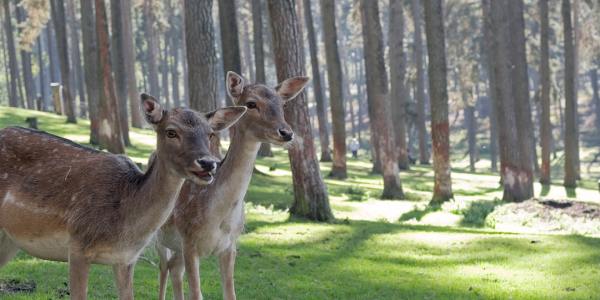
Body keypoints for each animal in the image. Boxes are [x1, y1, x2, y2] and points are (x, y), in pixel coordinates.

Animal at [0, 93, 248, 298]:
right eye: (171, 131)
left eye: (210, 134)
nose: (208, 163)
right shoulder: (77, 246)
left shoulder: (126, 259)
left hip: (9, 240)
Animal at [155, 71, 310, 298]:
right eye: (251, 103)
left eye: (283, 104)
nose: (287, 133)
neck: (218, 217)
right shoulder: (189, 241)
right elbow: (197, 294)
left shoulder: (230, 246)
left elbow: (230, 294)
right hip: (158, 236)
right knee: (163, 268)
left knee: (174, 268)